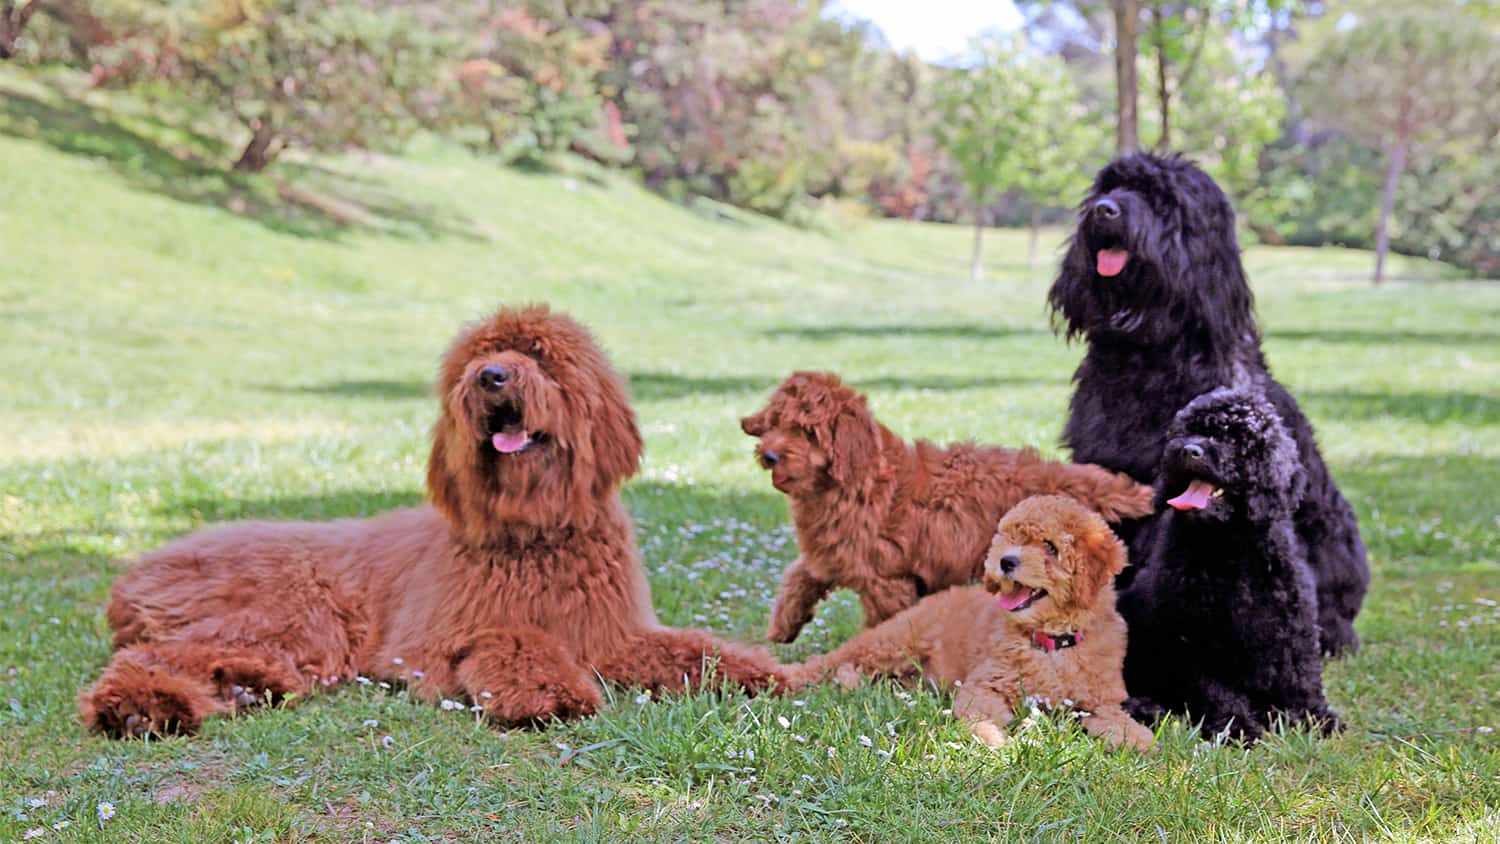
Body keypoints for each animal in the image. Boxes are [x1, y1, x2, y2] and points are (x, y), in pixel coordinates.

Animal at [792, 494, 1152, 752]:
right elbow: (980, 714)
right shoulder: (985, 684)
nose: (1005, 561)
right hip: (892, 640)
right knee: (827, 662)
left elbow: (1120, 724)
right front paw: (991, 738)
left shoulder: (1101, 700)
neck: (1050, 642)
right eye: (1009, 538)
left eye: (1050, 547)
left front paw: (1139, 741)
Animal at [1122, 386, 1344, 743]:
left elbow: (1303, 675)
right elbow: (1217, 691)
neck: (1229, 547)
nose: (1189, 450)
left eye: (1235, 439)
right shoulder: (1197, 637)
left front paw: (1315, 717)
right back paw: (1146, 708)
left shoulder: (1293, 622)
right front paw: (1236, 728)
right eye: (1188, 430)